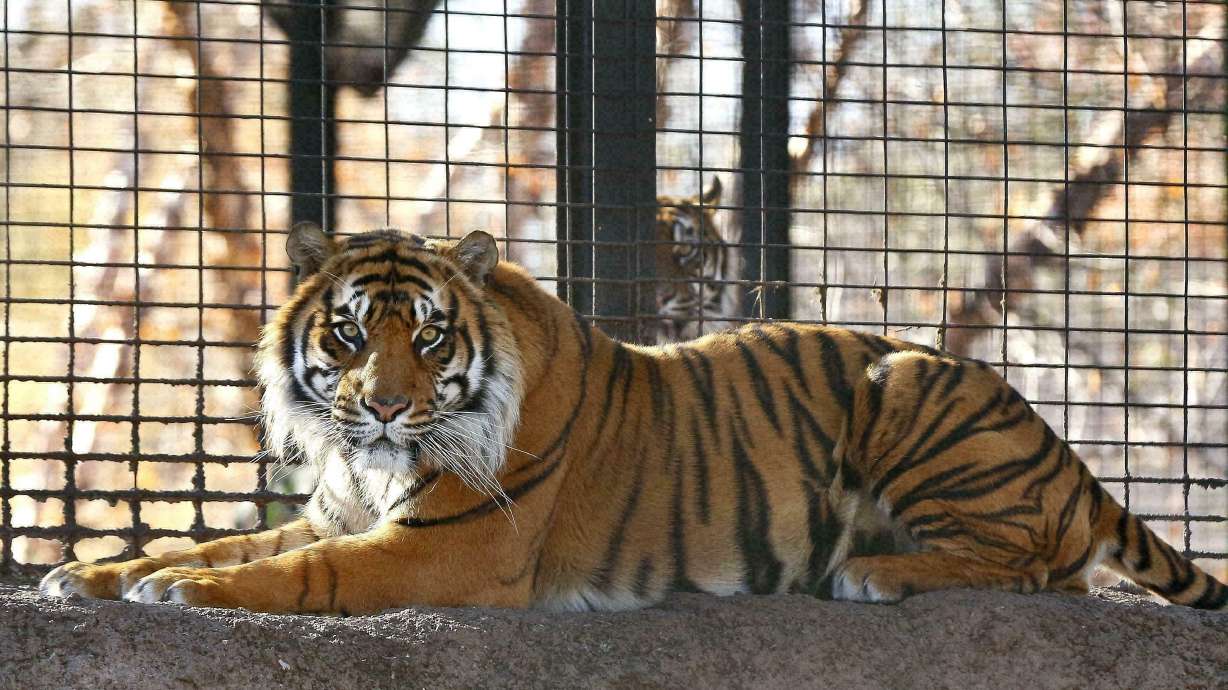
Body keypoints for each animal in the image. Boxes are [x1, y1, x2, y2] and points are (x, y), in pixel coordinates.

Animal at [41, 224, 1228, 615]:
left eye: (426, 336)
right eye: (347, 333)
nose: (380, 407)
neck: (367, 464)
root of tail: (1074, 465)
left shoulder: (448, 548)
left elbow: (295, 574)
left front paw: (183, 594)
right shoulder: (344, 507)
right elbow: (225, 539)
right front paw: (92, 573)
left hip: (904, 381)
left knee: (1040, 566)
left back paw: (874, 570)